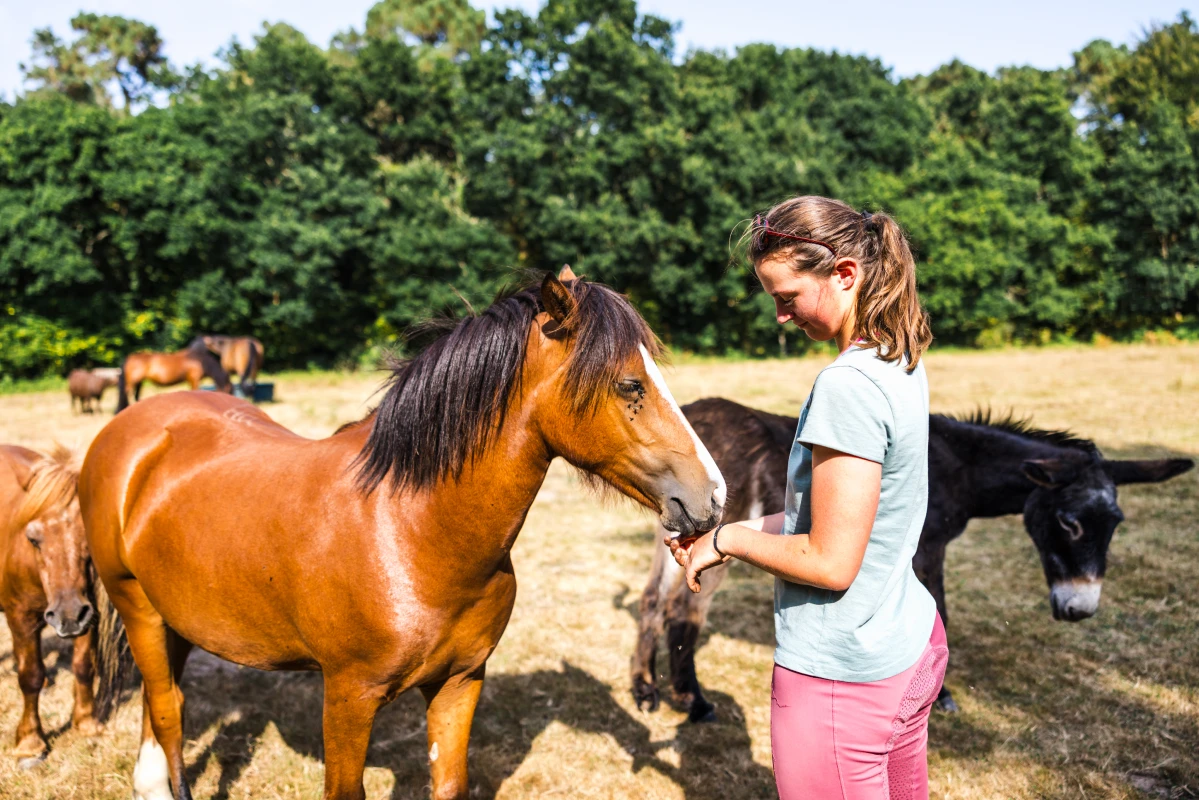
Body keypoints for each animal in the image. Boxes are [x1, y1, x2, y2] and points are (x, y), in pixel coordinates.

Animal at [0, 444, 101, 767]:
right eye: (33, 539)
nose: (67, 615)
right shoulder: (21, 618)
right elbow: (30, 675)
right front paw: (30, 741)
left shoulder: (88, 613)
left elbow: (83, 665)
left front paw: (86, 722)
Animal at [80, 268, 726, 800]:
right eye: (629, 385)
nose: (713, 497)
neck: (411, 534)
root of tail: (130, 428)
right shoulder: (348, 698)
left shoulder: (459, 684)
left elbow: (450, 783)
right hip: (137, 607)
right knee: (168, 710)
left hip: (179, 619)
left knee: (159, 702)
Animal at [631, 397, 1194, 721]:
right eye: (1070, 522)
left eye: (1115, 524)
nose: (1081, 610)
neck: (958, 467)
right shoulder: (927, 550)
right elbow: (939, 610)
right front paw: (939, 696)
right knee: (684, 610)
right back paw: (692, 700)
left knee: (652, 601)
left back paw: (645, 690)